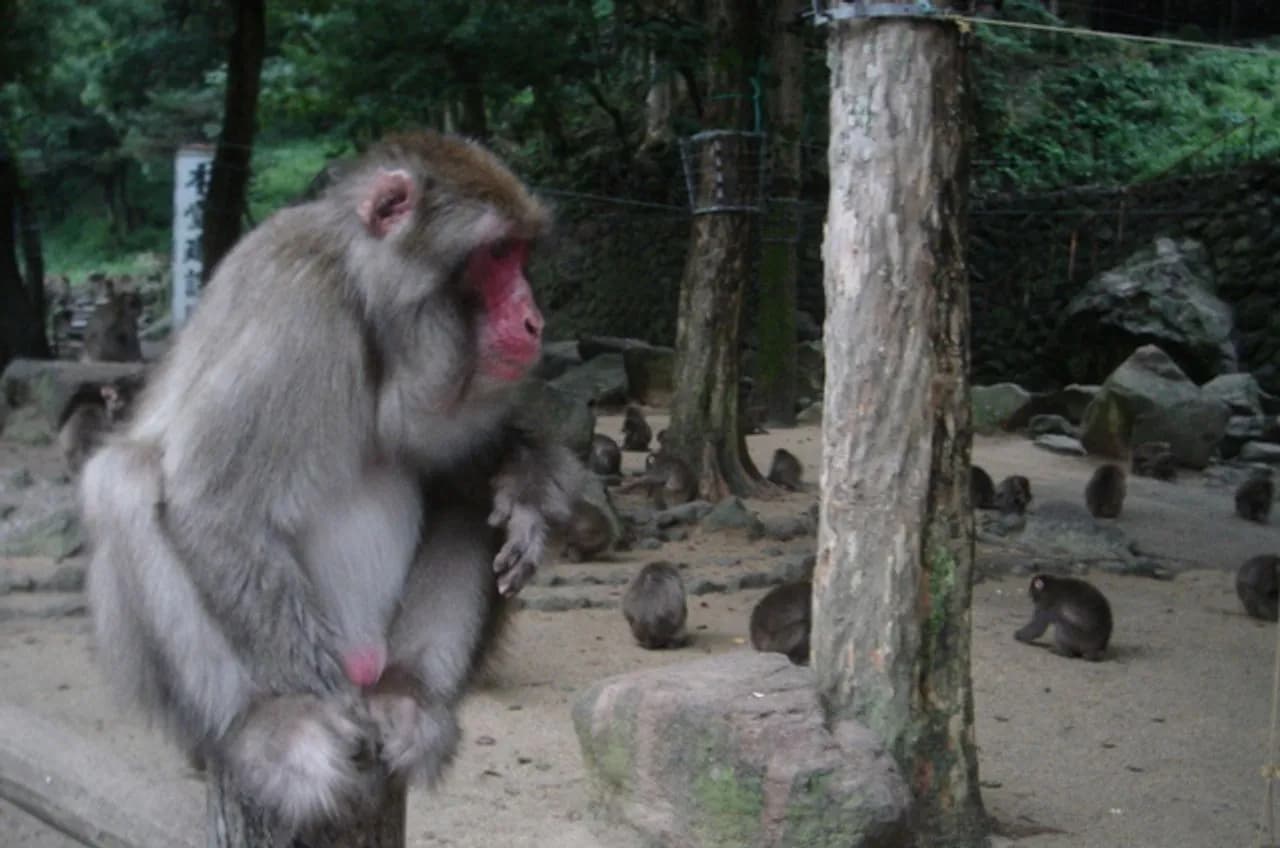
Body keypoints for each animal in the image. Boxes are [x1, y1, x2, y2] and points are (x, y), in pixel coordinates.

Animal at [80, 131, 586, 835]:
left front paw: (528, 482)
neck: (368, 312)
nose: (534, 320)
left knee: (457, 498)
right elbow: (215, 506)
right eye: (495, 254)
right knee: (124, 477)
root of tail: (365, 661)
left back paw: (408, 696)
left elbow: (455, 466)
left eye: (520, 254)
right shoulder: (299, 313)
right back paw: (269, 727)